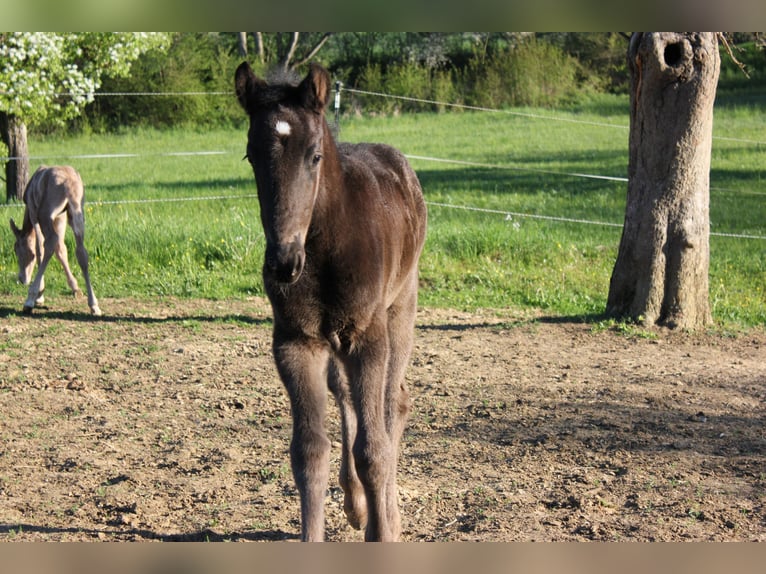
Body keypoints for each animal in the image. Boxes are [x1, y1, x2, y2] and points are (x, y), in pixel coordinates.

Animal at [9, 165, 101, 316]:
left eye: (17, 250)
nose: (22, 279)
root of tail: (69, 186)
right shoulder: (60, 218)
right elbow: (61, 250)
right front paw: (75, 288)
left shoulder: (34, 212)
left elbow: (39, 248)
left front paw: (39, 295)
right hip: (77, 215)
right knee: (81, 252)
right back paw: (94, 305)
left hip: (44, 214)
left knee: (49, 243)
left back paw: (29, 300)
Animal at [235, 61, 427, 541]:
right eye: (251, 155)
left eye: (315, 155)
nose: (283, 262)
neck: (323, 251)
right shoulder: (296, 343)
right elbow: (308, 452)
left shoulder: (366, 337)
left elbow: (373, 450)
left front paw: (383, 532)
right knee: (345, 395)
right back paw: (357, 505)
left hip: (400, 309)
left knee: (393, 404)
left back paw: (387, 515)